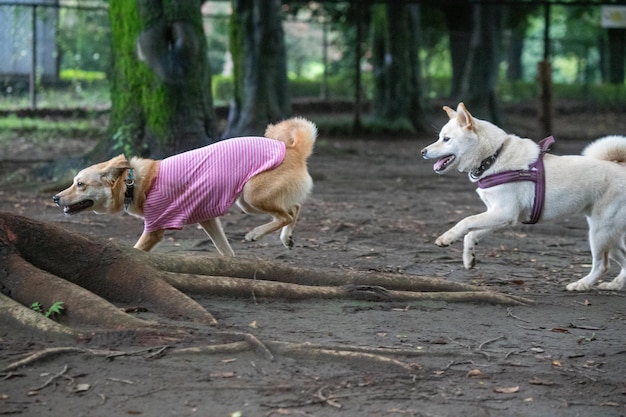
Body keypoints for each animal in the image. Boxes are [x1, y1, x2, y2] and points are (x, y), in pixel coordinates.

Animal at [53, 115, 316, 255]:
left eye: (80, 184)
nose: (55, 198)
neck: (133, 184)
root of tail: (293, 149)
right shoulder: (207, 219)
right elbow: (226, 251)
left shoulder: (155, 228)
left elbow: (137, 251)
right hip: (247, 201)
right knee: (295, 209)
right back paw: (286, 238)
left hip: (251, 195)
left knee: (286, 214)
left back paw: (256, 233)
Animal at [420, 102, 624, 290]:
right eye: (440, 137)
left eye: (446, 139)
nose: (423, 152)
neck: (493, 156)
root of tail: (621, 167)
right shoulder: (501, 216)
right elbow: (471, 234)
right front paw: (469, 258)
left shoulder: (504, 212)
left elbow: (466, 221)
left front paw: (447, 238)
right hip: (609, 236)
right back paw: (614, 284)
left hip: (599, 232)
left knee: (602, 265)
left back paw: (581, 284)